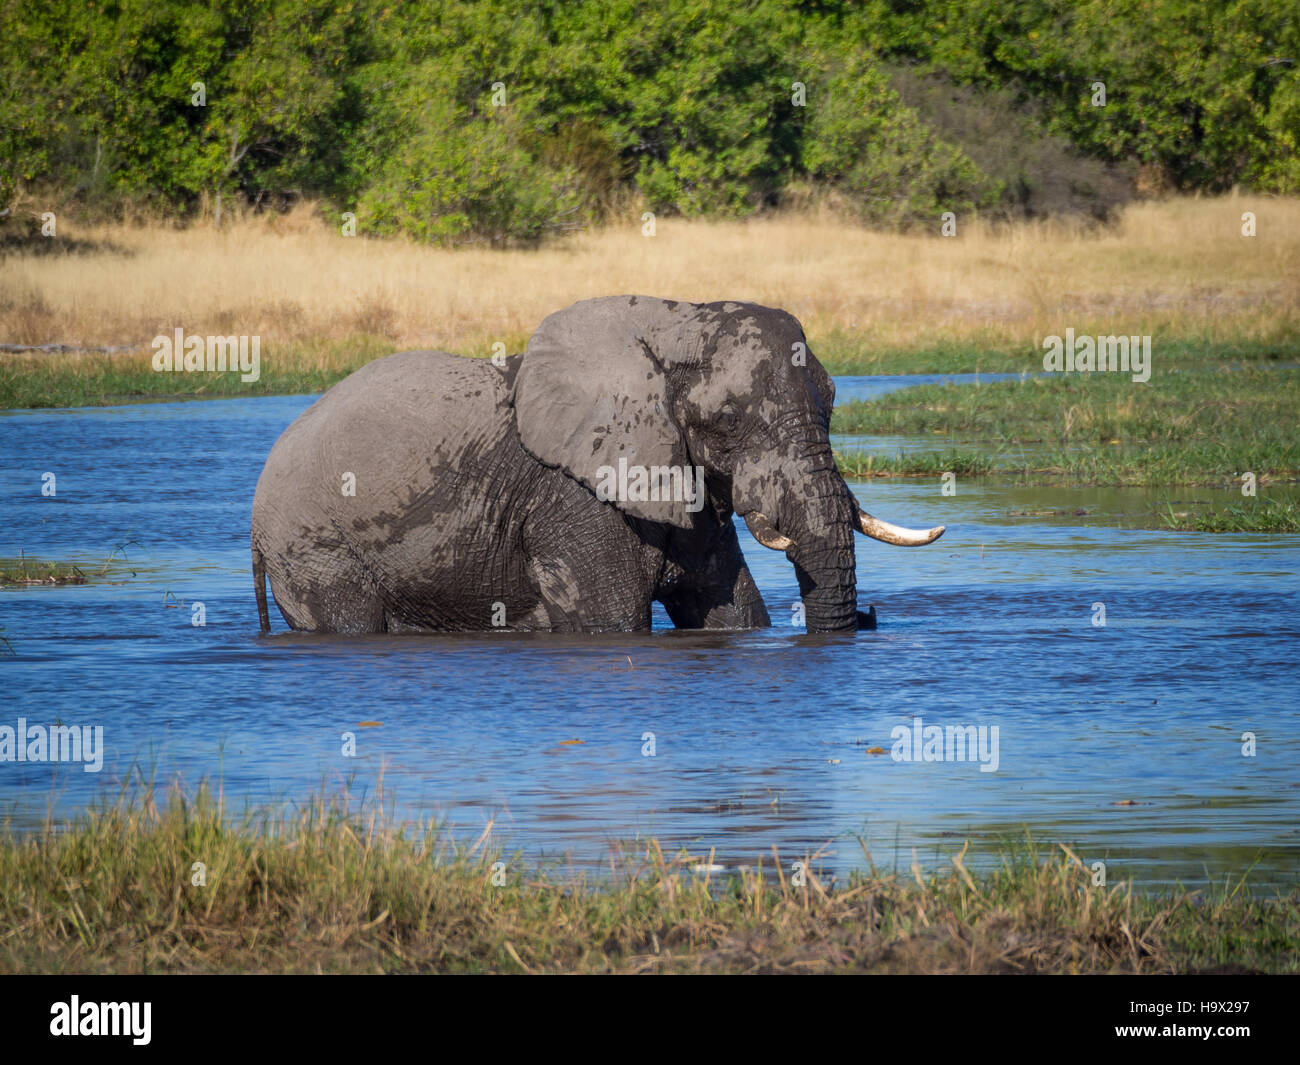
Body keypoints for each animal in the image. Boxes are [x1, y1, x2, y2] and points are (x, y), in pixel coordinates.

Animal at [250, 293, 946, 631]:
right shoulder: (573, 499)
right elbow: (609, 620)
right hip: (314, 548)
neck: (675, 322)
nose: (870, 617)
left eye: (832, 405)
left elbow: (733, 611)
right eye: (726, 422)